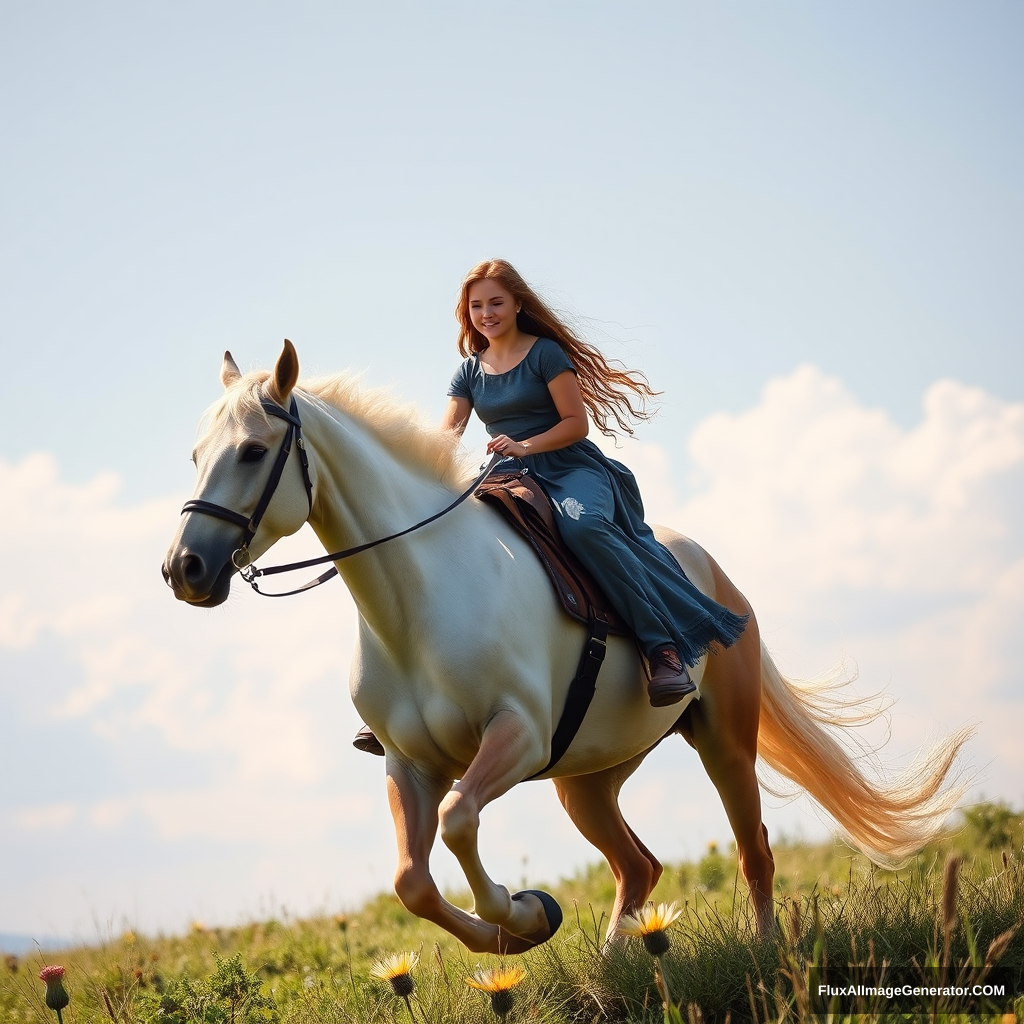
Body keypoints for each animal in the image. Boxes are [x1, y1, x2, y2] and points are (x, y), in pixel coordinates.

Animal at [163, 339, 970, 954]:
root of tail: (713, 573)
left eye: (253, 451)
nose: (184, 570)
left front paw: (523, 913)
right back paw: (616, 965)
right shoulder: (407, 764)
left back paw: (767, 950)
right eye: (196, 453)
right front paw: (509, 936)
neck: (421, 597)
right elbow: (411, 881)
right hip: (586, 779)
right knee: (637, 868)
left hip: (722, 742)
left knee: (753, 850)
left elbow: (458, 820)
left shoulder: (514, 738)